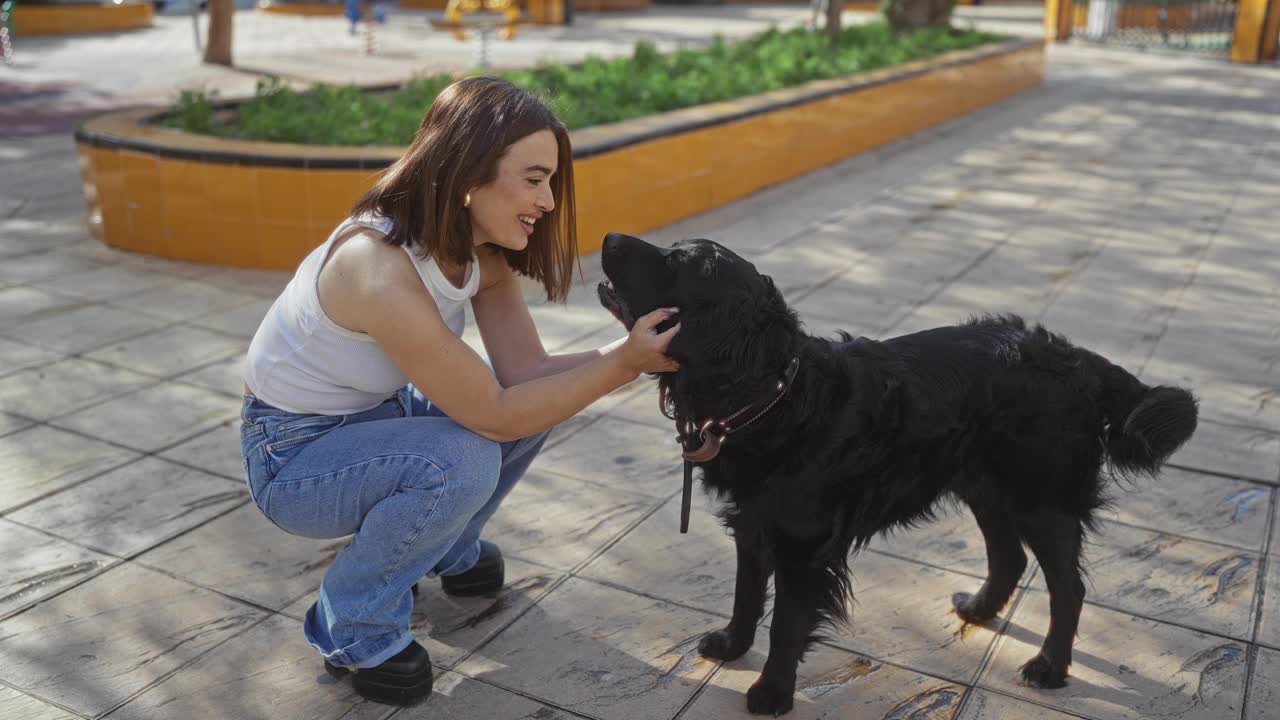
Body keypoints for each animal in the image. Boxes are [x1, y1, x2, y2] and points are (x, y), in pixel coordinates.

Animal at [599, 233, 1198, 712]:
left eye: (678, 262)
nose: (607, 236)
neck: (778, 396)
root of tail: (1075, 357)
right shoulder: (752, 525)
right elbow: (746, 597)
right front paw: (730, 645)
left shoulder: (801, 549)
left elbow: (786, 623)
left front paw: (772, 692)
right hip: (984, 486)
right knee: (1009, 557)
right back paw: (979, 610)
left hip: (1040, 497)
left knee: (1067, 587)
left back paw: (1050, 667)